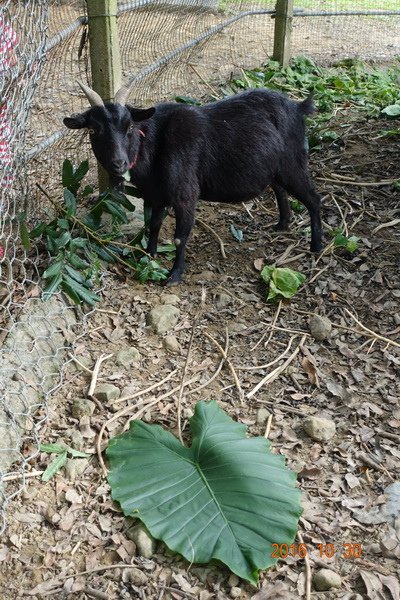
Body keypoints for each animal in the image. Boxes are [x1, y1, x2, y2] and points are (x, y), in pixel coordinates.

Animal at [64, 82, 324, 286]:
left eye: (129, 127)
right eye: (93, 130)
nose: (119, 163)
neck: (155, 145)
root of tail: (298, 107)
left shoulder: (185, 195)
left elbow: (180, 235)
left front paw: (174, 275)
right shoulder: (156, 196)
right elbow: (153, 225)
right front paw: (148, 255)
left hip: (292, 163)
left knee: (313, 198)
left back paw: (317, 245)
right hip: (275, 169)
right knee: (280, 189)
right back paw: (282, 223)